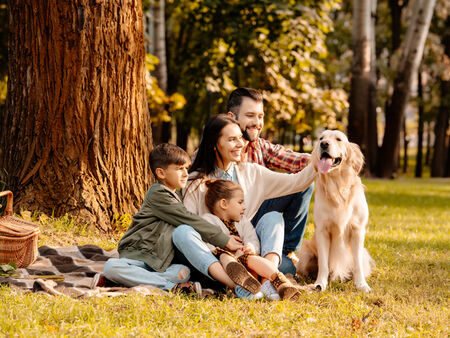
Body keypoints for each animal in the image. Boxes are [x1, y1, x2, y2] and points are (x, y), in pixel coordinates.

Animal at [298, 130, 374, 294]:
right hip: (305, 254)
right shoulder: (322, 230)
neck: (337, 186)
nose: (324, 144)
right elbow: (324, 264)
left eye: (339, 139)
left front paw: (361, 285)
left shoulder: (358, 230)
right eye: (321, 138)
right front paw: (320, 284)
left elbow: (357, 264)